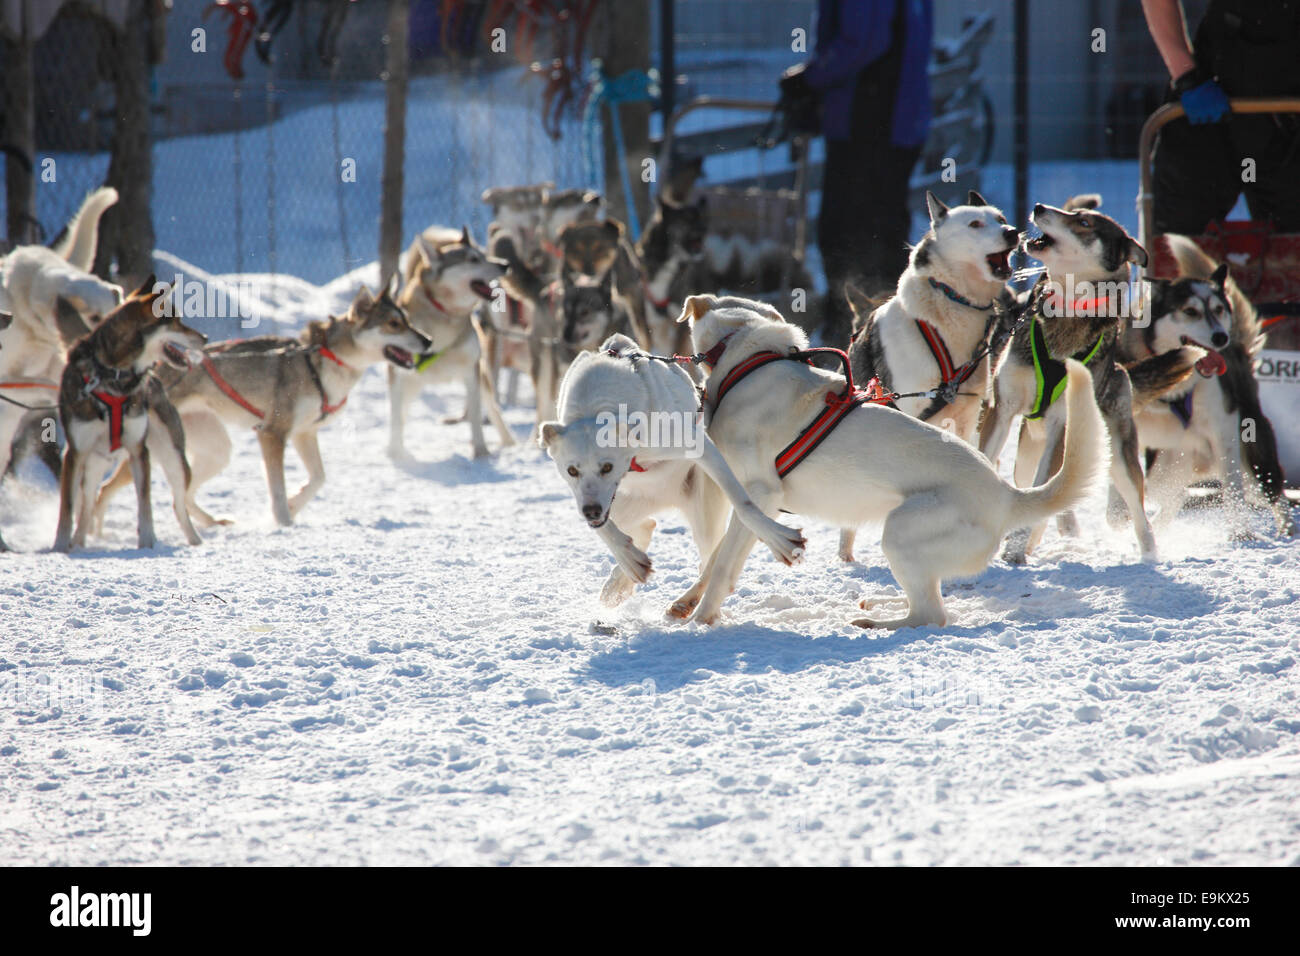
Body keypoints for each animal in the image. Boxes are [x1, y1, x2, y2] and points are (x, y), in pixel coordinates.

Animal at [535, 335, 800, 616]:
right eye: (572, 471)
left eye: (607, 467)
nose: (591, 511)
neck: (595, 408)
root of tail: (667, 498)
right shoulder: (589, 500)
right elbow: (604, 529)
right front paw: (628, 559)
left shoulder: (701, 448)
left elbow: (745, 504)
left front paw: (779, 539)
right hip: (623, 506)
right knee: (645, 526)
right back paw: (621, 579)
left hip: (702, 518)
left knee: (705, 555)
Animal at [681, 295, 1107, 632]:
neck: (748, 361)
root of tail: (1004, 494)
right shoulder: (753, 506)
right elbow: (719, 558)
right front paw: (687, 603)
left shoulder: (762, 493)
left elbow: (723, 565)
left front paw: (700, 619)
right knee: (929, 599)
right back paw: (882, 604)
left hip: (900, 532)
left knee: (930, 614)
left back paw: (876, 622)